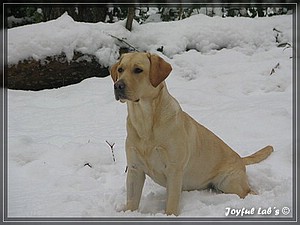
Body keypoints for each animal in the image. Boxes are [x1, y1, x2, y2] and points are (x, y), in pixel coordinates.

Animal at [110, 51, 274, 215]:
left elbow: (171, 203)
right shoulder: (135, 169)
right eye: (120, 69)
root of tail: (240, 158)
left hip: (228, 183)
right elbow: (132, 202)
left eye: (138, 70)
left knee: (249, 191)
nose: (117, 85)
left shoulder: (174, 170)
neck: (145, 121)